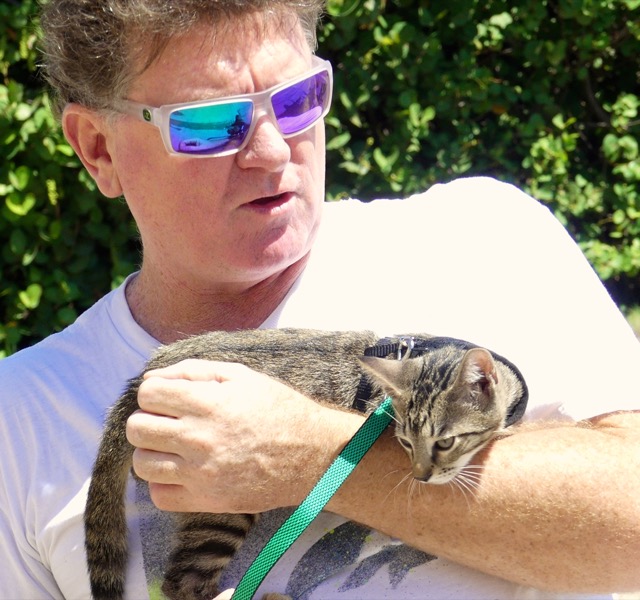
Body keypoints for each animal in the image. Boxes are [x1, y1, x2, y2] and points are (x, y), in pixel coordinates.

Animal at [84, 330, 524, 596]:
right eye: (404, 442)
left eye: (444, 441)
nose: (421, 475)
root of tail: (145, 377)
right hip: (223, 509)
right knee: (183, 583)